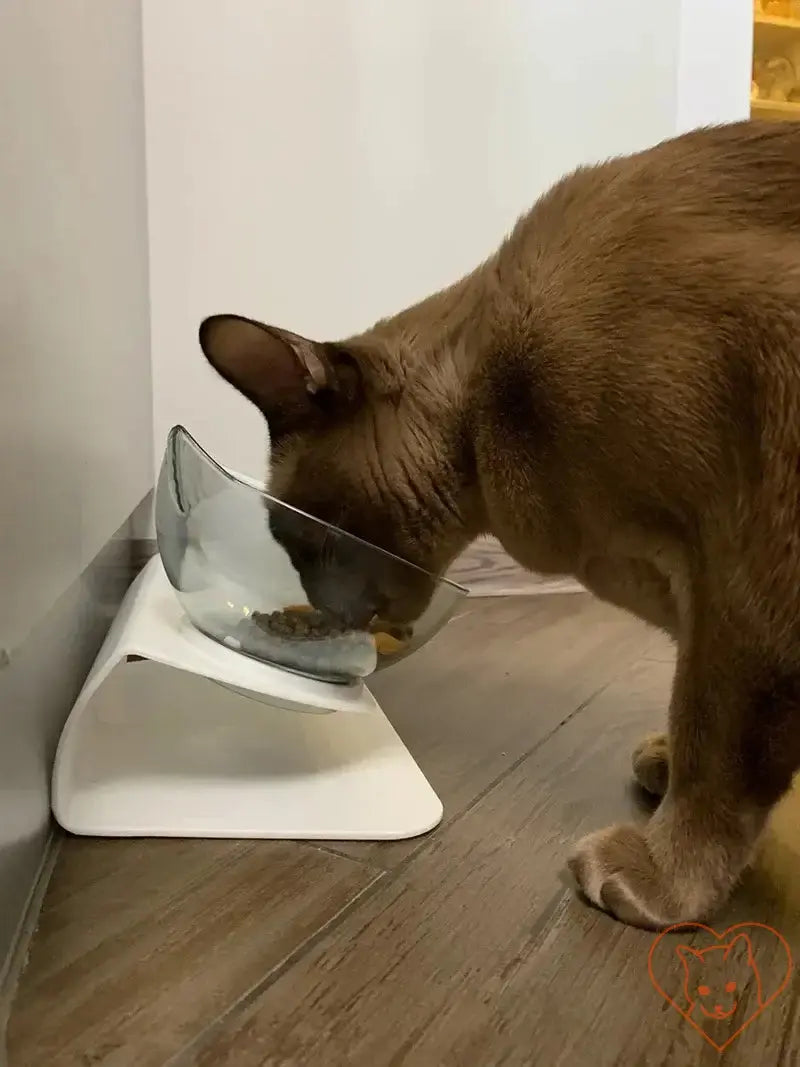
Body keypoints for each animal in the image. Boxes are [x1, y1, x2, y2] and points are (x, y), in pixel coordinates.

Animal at [199, 121, 800, 930]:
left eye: (300, 538)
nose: (321, 607)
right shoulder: (704, 595)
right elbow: (697, 721)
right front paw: (664, 760)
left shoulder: (743, 578)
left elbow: (716, 746)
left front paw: (660, 879)